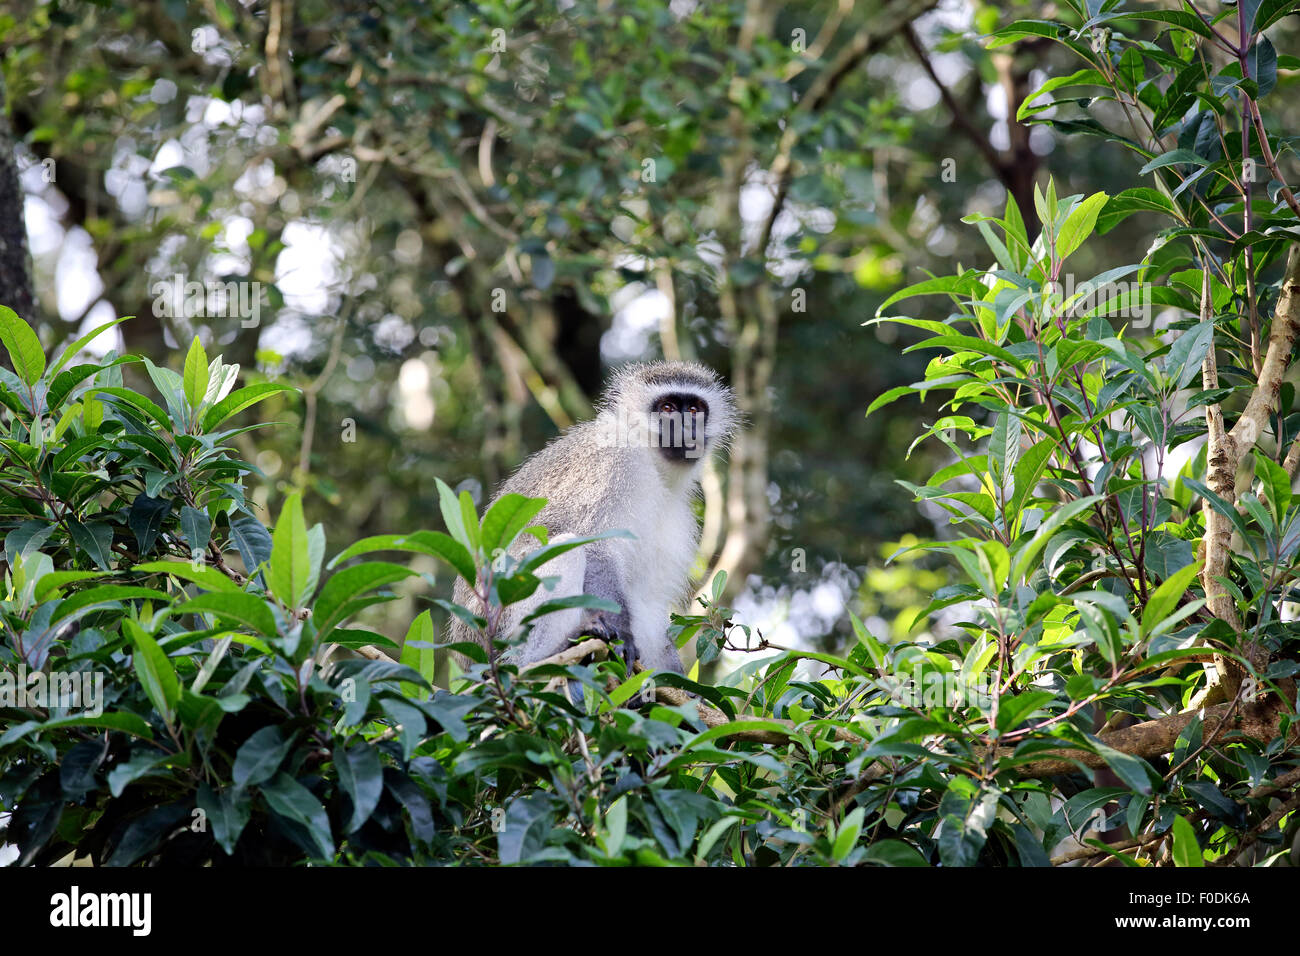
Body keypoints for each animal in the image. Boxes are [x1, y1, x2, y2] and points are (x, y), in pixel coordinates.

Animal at [448, 360, 737, 680]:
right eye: (668, 408)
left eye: (694, 410)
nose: (686, 427)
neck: (650, 460)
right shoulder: (613, 464)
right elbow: (595, 548)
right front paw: (624, 640)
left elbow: (647, 598)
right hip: (495, 621)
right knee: (565, 549)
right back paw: (539, 659)